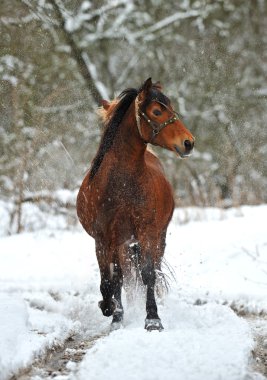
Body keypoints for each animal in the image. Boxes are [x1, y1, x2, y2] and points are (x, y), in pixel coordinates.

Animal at [76, 77, 196, 330]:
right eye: (157, 111)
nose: (188, 142)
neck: (121, 184)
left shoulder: (146, 232)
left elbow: (148, 273)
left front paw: (153, 319)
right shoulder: (103, 239)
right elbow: (109, 280)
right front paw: (110, 309)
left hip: (157, 237)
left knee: (153, 269)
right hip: (121, 244)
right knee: (119, 277)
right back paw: (117, 315)